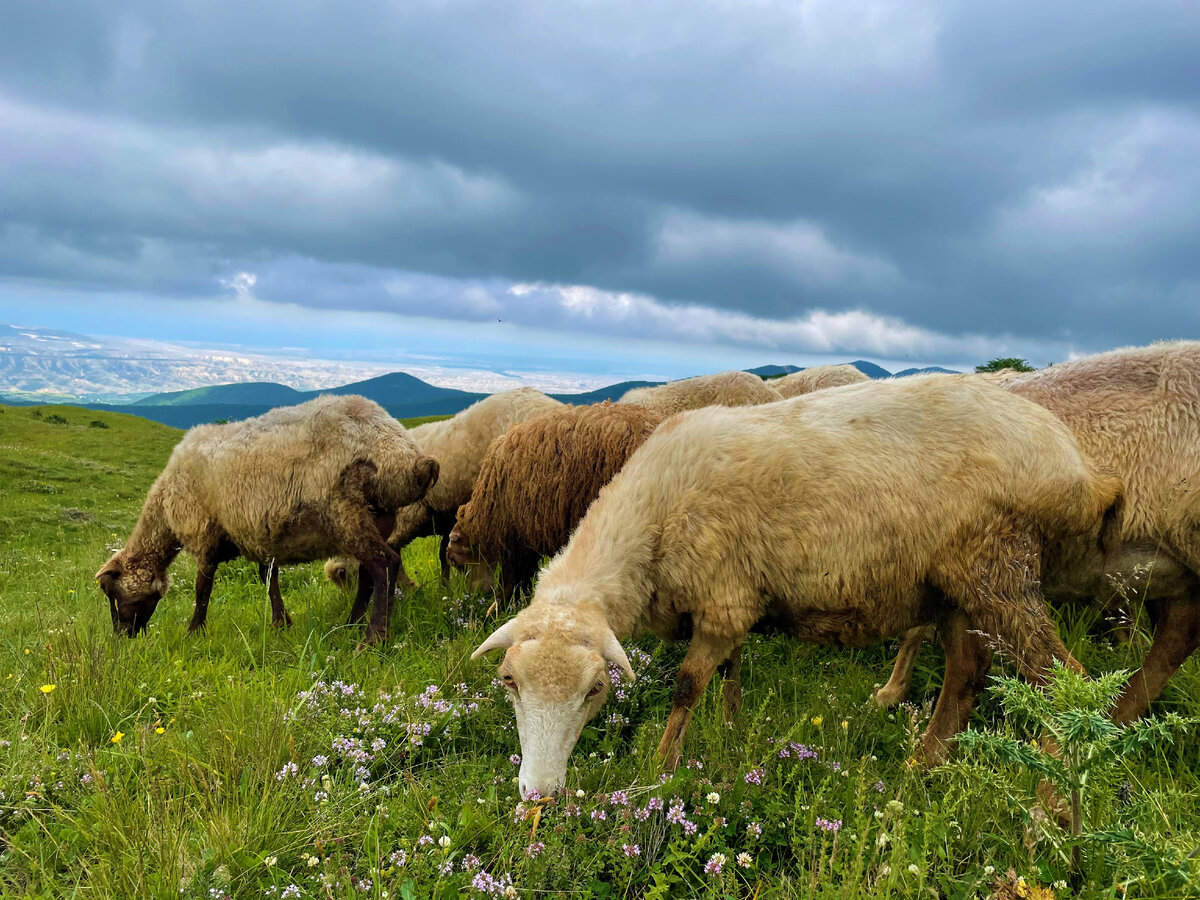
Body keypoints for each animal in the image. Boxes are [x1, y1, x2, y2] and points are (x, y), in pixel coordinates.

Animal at [94, 393, 441, 643]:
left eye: (112, 595)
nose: (122, 638)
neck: (164, 506)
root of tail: (401, 451)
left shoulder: (204, 533)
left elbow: (202, 589)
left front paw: (194, 633)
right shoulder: (260, 536)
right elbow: (269, 580)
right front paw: (281, 624)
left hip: (344, 510)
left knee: (385, 564)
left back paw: (372, 639)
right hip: (377, 516)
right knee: (369, 574)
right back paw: (349, 626)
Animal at [472, 374, 1118, 796]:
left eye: (594, 691)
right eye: (508, 682)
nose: (538, 793)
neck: (653, 519)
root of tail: (1074, 465)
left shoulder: (723, 599)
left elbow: (686, 686)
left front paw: (660, 769)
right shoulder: (730, 602)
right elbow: (729, 673)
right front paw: (731, 729)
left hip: (996, 564)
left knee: (1064, 682)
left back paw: (1053, 801)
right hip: (955, 583)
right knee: (965, 673)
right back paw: (923, 768)